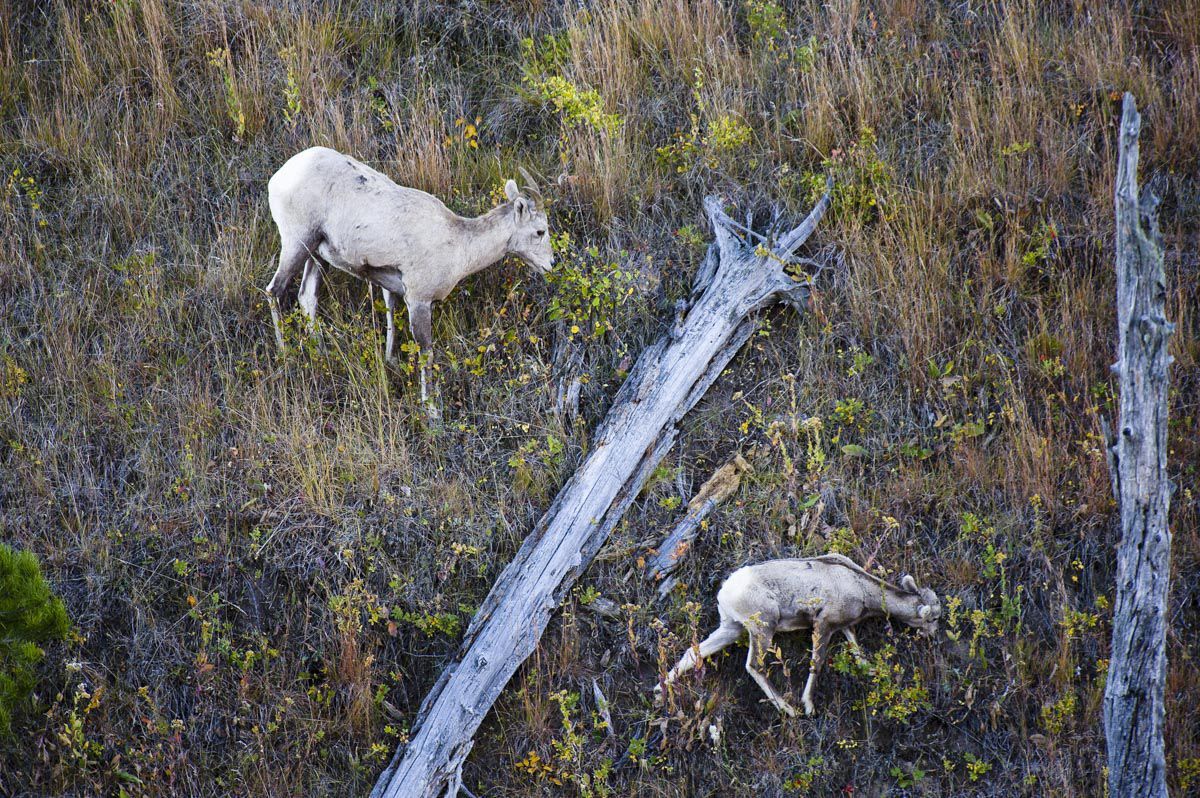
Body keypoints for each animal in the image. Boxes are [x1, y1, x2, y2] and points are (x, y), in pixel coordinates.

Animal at [265, 146, 554, 402]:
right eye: (540, 231)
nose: (550, 264)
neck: (459, 245)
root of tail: (279, 177)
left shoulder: (393, 287)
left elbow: (390, 318)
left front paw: (390, 361)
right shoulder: (419, 301)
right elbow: (426, 354)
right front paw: (431, 411)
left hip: (316, 255)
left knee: (307, 298)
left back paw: (321, 352)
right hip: (297, 243)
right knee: (274, 291)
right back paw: (285, 354)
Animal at [658, 553, 941, 717]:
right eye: (934, 618)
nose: (933, 637)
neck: (861, 588)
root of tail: (727, 589)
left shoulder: (843, 625)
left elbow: (856, 647)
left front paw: (869, 669)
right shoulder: (823, 625)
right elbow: (816, 664)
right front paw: (808, 706)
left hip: (730, 628)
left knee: (693, 653)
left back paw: (660, 691)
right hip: (764, 627)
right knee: (755, 666)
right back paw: (788, 709)